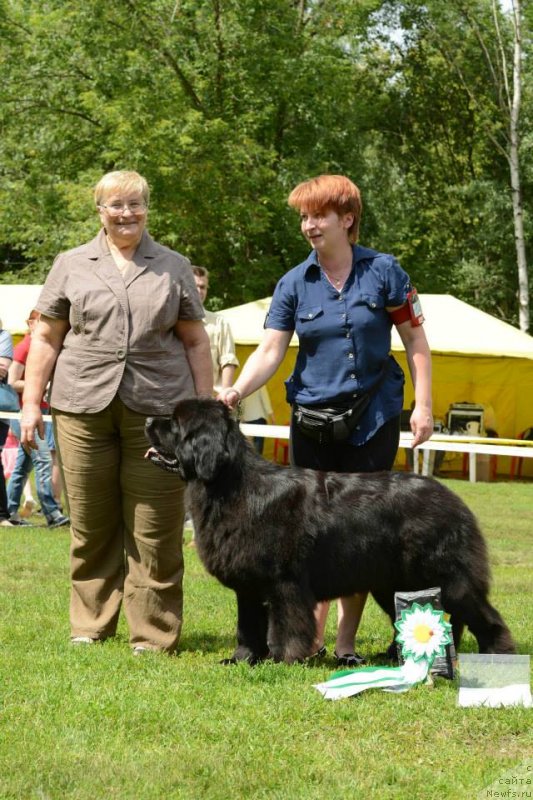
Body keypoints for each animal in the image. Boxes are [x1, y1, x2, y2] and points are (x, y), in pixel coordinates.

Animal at [143, 396, 512, 664]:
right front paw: (241, 660)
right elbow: (246, 627)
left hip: (446, 578)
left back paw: (497, 654)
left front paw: (284, 660)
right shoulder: (247, 586)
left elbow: (287, 626)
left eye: (174, 423)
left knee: (483, 615)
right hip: (393, 583)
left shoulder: (285, 582)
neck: (230, 486)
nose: (146, 421)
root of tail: (452, 498)